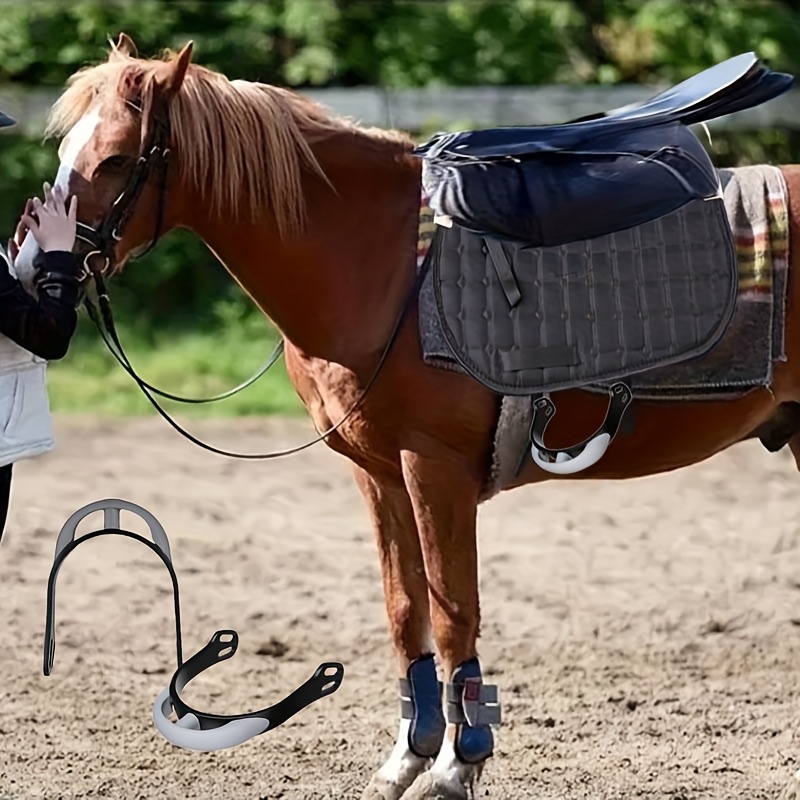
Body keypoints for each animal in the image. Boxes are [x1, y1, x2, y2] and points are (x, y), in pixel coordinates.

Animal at [16, 34, 800, 800]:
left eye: (117, 159)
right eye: (66, 153)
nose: (28, 270)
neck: (381, 265)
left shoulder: (434, 466)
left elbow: (454, 612)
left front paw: (459, 763)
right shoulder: (378, 472)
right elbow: (405, 609)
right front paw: (408, 757)